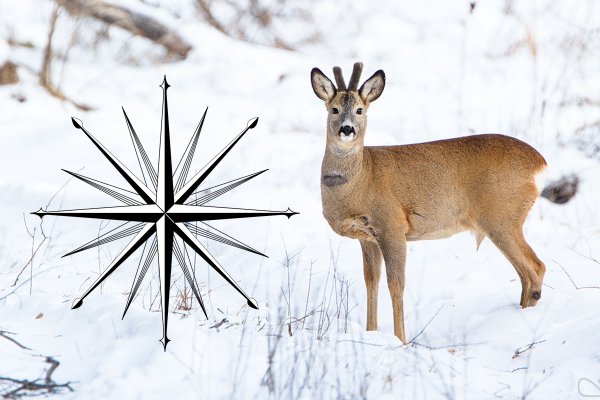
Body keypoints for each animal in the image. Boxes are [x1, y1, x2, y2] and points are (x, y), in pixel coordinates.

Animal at [314, 61, 548, 342]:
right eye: (334, 109)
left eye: (360, 109)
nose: (347, 129)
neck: (361, 180)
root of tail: (540, 165)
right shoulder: (367, 237)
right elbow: (372, 281)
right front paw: (371, 333)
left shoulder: (392, 226)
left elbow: (396, 284)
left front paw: (400, 340)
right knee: (527, 273)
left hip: (502, 217)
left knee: (535, 267)